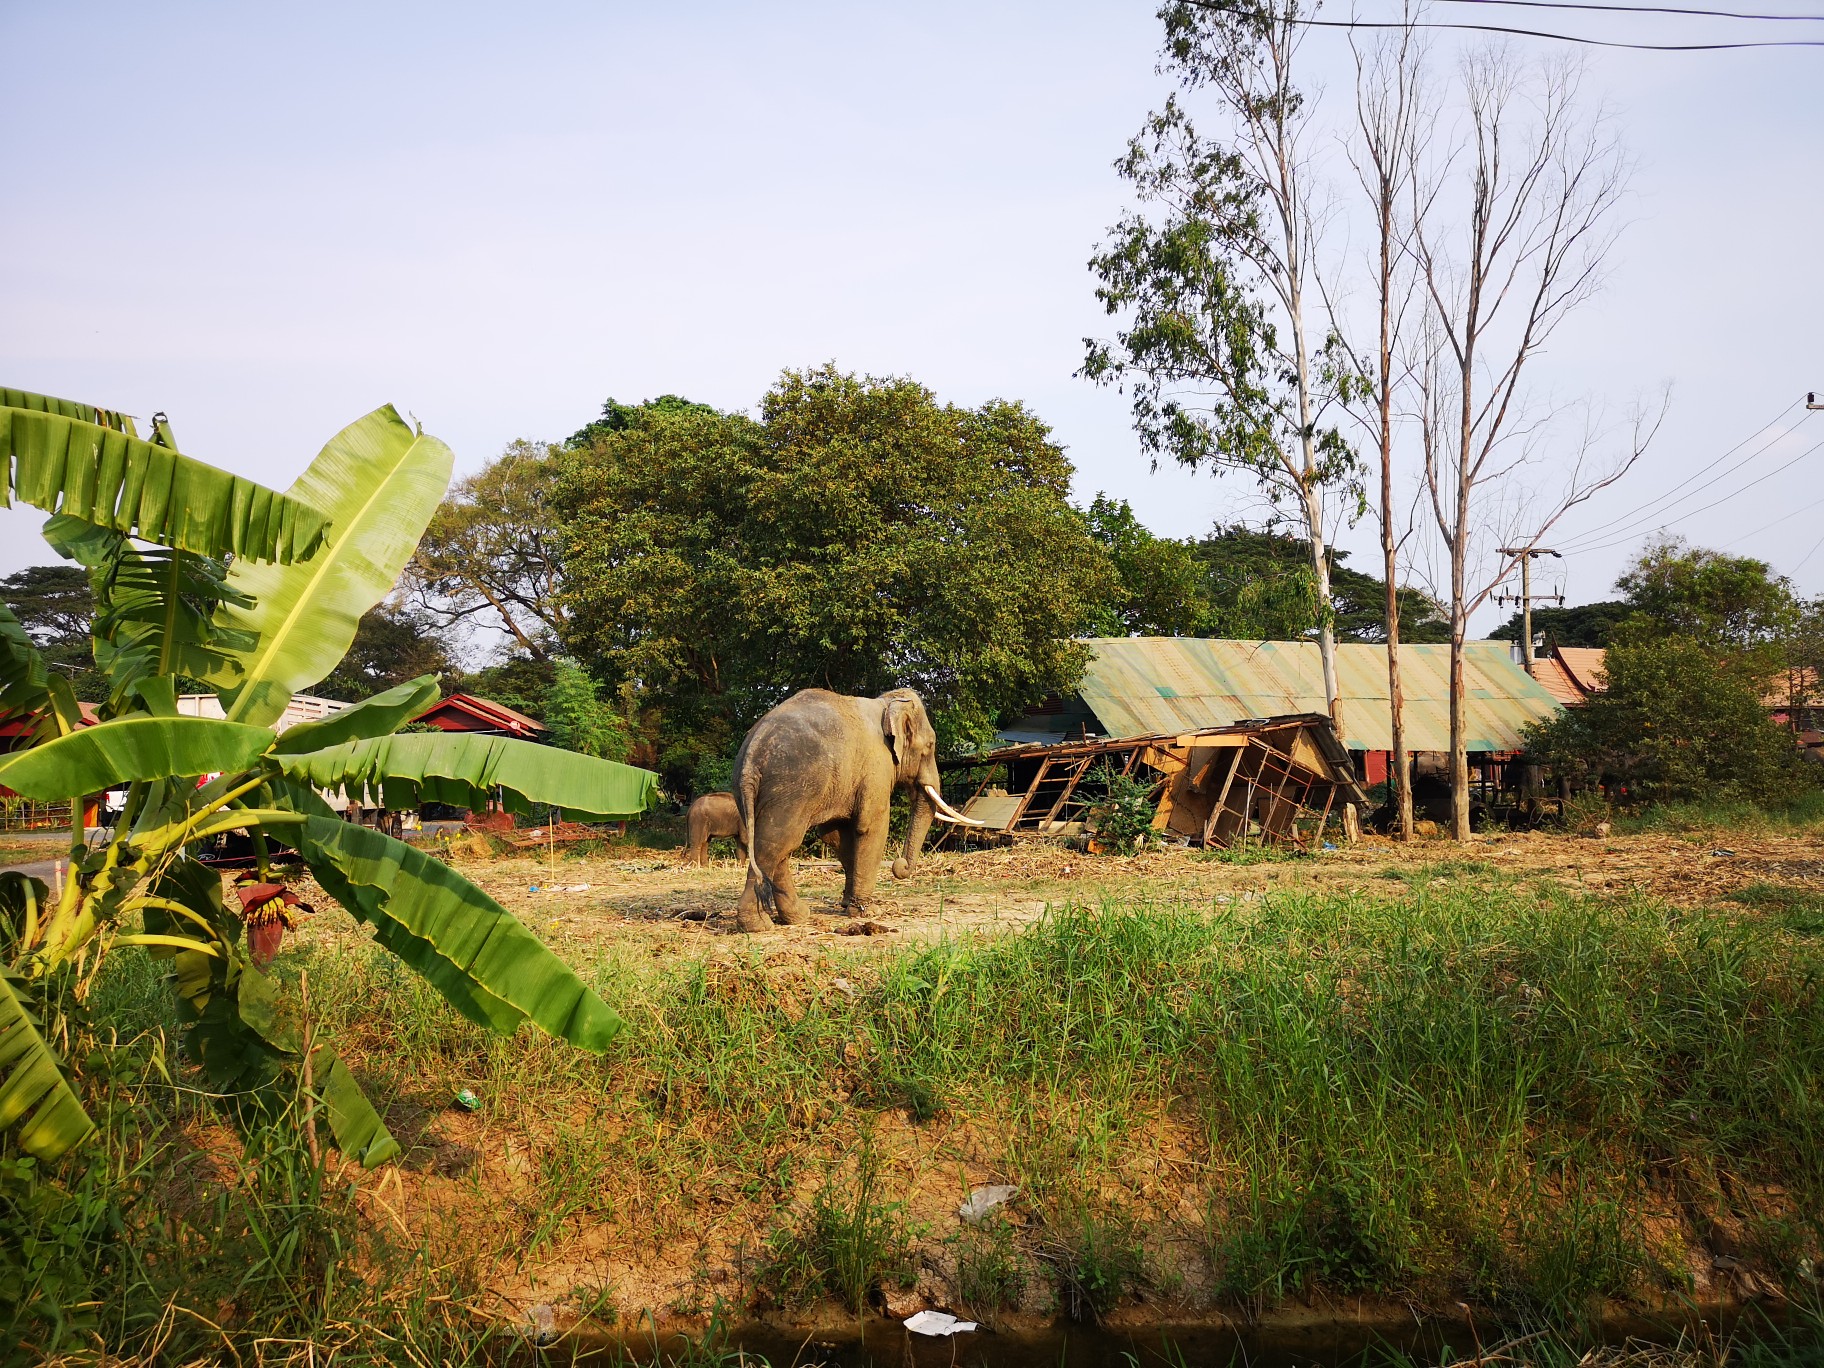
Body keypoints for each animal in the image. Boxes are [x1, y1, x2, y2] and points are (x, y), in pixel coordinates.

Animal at [725, 685, 984, 933]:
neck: (886, 704)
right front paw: (870, 912)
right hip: (791, 787)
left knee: (776, 845)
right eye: (930, 745)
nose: (899, 865)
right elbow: (871, 827)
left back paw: (797, 917)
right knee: (778, 843)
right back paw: (758, 926)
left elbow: (835, 835)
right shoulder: (876, 766)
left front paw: (848, 905)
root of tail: (753, 750)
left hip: (755, 790)